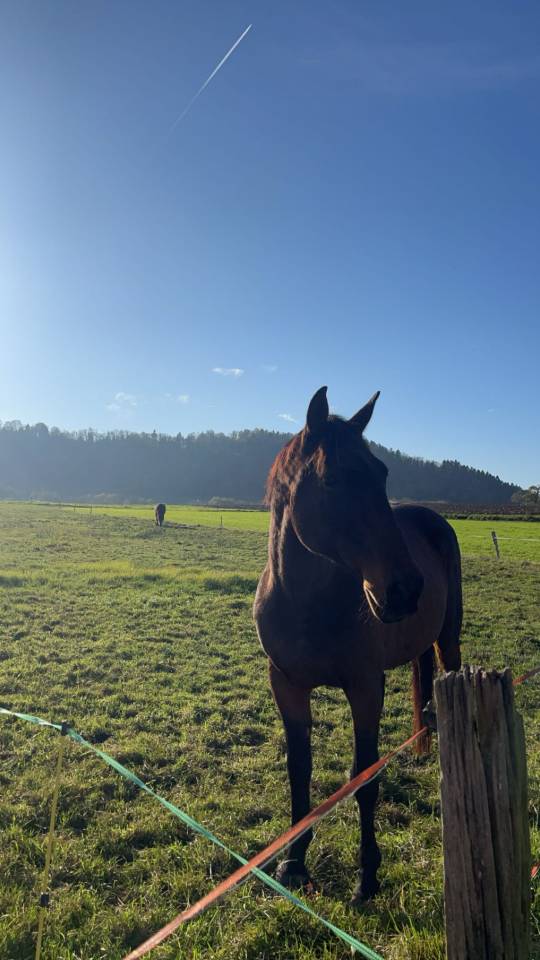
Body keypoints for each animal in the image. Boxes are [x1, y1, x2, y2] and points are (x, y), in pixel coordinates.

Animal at [254, 387, 462, 904]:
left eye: (381, 474)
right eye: (332, 480)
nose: (405, 589)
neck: (306, 604)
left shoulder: (366, 688)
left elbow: (364, 779)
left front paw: (366, 877)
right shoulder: (286, 686)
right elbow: (300, 771)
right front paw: (293, 864)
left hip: (448, 639)